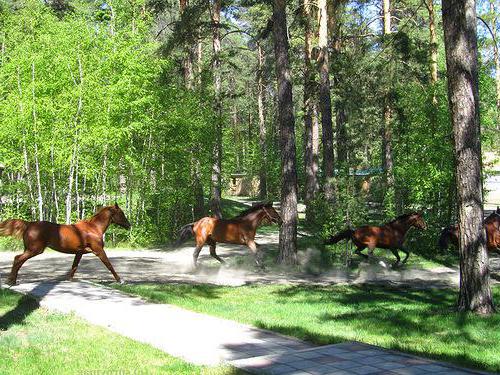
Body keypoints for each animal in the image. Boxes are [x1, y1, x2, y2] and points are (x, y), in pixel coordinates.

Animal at [0, 204, 131, 286]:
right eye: (121, 213)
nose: (129, 225)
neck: (93, 228)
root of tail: (29, 224)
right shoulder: (98, 250)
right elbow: (109, 265)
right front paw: (120, 280)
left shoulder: (79, 252)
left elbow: (74, 267)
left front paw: (69, 279)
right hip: (35, 249)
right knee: (18, 259)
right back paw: (11, 281)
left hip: (29, 249)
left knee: (19, 260)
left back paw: (12, 280)